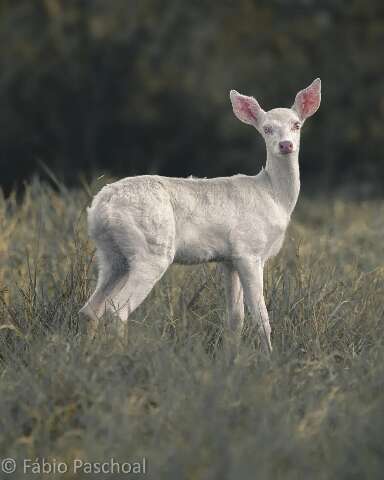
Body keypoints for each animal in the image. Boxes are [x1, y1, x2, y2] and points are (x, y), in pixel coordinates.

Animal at [80, 79, 320, 352]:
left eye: (296, 124)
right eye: (267, 128)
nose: (286, 145)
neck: (274, 196)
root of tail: (101, 207)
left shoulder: (229, 259)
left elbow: (235, 317)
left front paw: (232, 355)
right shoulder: (249, 250)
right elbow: (260, 315)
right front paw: (269, 355)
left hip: (111, 254)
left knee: (90, 309)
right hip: (151, 248)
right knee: (117, 308)